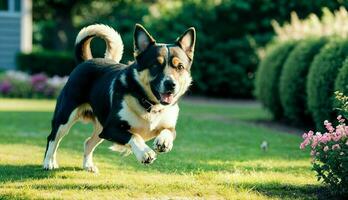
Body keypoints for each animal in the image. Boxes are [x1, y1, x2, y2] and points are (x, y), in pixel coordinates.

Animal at [42, 24, 196, 173]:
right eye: (155, 65)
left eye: (180, 66)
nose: (171, 84)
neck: (149, 105)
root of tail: (86, 61)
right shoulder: (111, 128)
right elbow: (134, 136)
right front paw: (144, 153)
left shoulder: (168, 126)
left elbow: (169, 132)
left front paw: (164, 141)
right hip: (65, 118)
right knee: (53, 139)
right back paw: (49, 163)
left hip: (99, 129)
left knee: (88, 142)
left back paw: (88, 165)